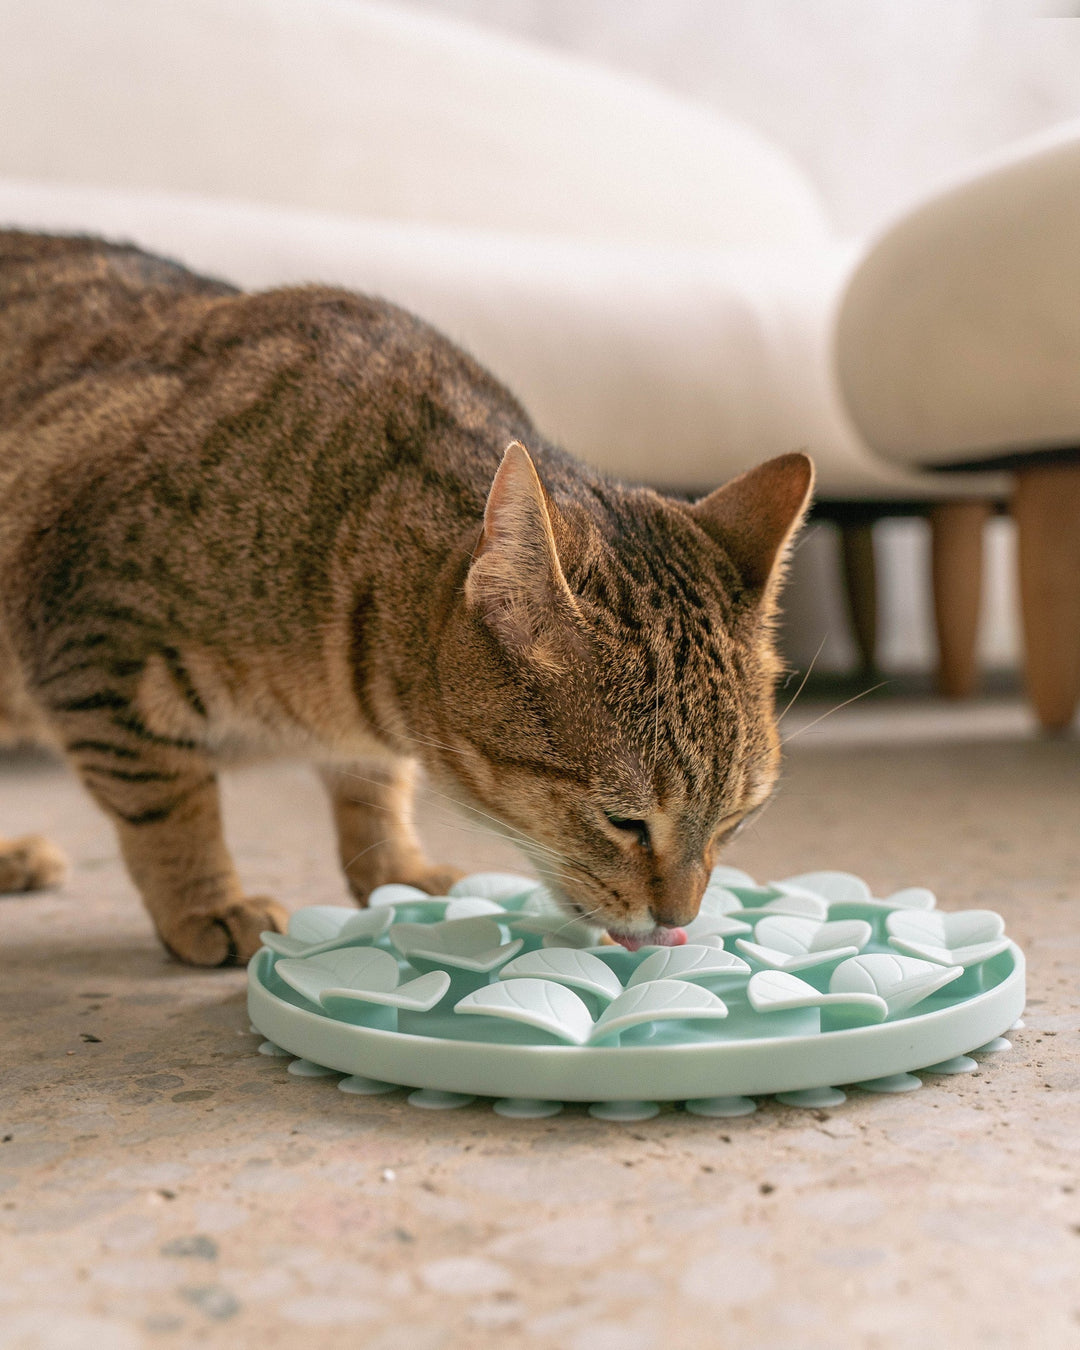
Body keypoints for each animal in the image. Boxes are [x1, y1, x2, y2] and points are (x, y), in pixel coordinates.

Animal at [0, 237, 810, 966]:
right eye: (625, 821)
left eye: (737, 822)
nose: (679, 921)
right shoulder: (98, 655)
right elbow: (172, 808)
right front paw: (207, 903)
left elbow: (375, 789)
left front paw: (397, 872)